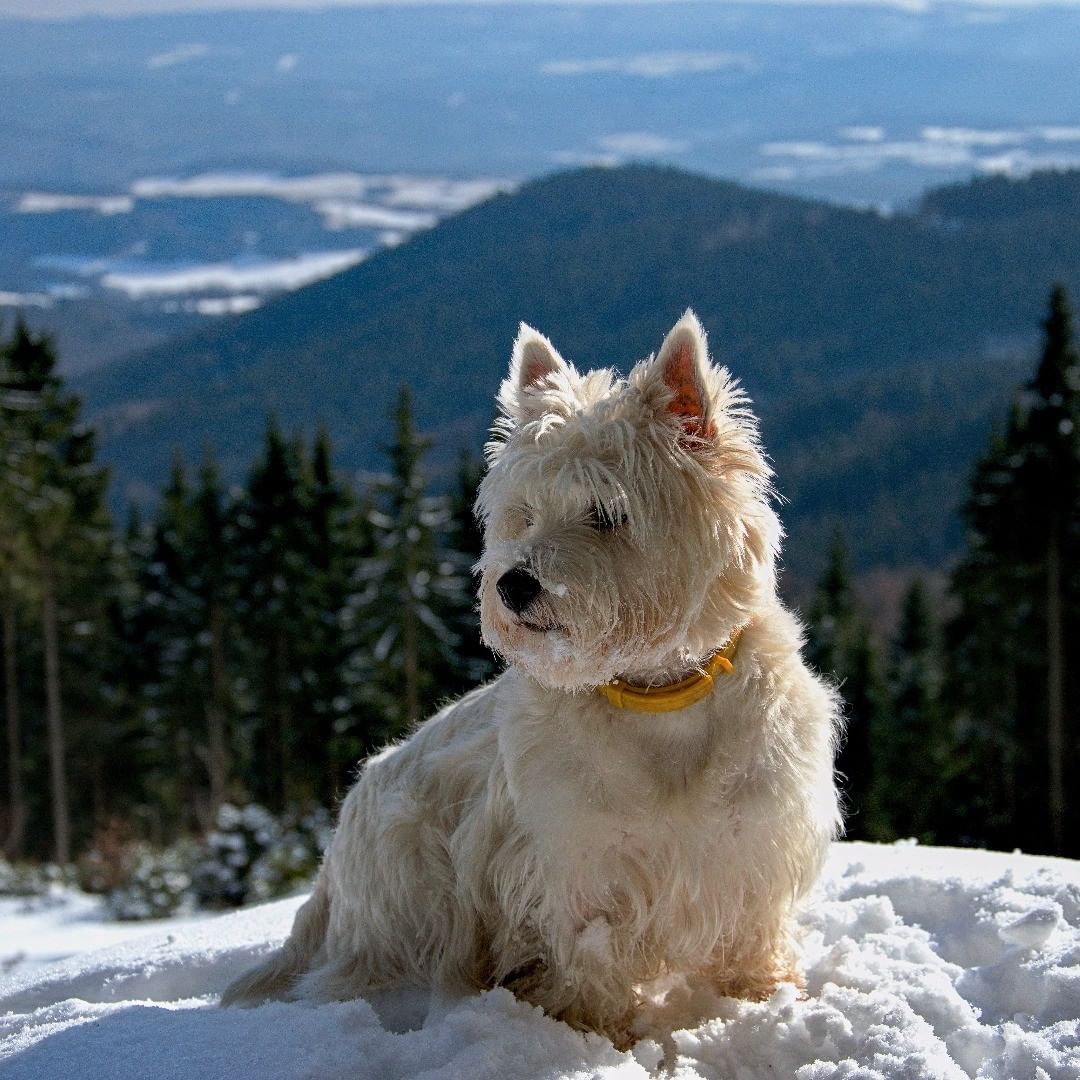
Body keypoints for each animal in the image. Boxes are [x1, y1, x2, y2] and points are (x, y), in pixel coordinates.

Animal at [219, 308, 842, 1041]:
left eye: (607, 512)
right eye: (523, 513)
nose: (513, 585)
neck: (657, 696)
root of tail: (332, 864)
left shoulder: (752, 847)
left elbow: (751, 936)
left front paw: (761, 1002)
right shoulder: (573, 861)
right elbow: (589, 954)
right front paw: (597, 1033)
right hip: (406, 873)